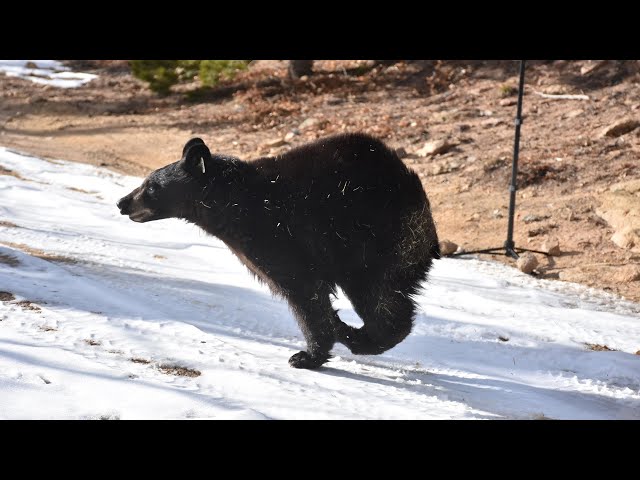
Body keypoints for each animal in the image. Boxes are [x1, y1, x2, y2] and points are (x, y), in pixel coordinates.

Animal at [116, 133, 440, 370]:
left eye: (151, 186)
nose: (122, 202)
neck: (232, 204)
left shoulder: (279, 237)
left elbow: (303, 292)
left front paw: (307, 355)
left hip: (375, 241)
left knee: (380, 298)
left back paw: (356, 336)